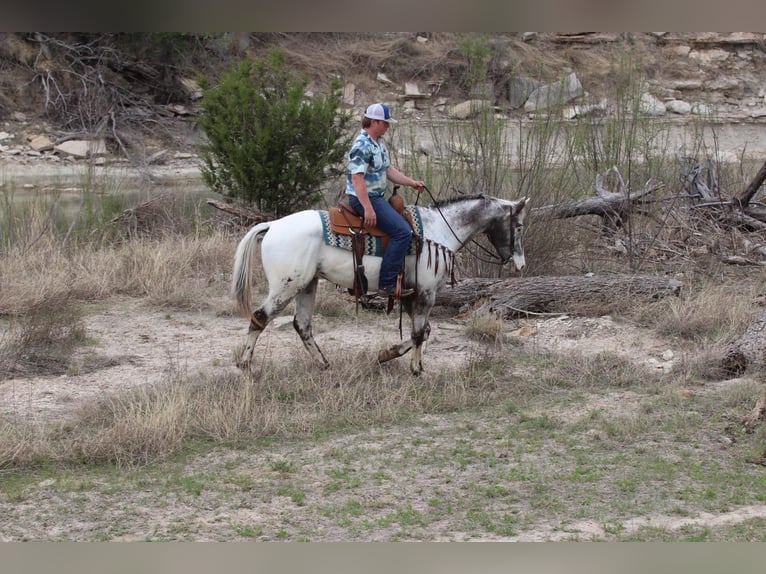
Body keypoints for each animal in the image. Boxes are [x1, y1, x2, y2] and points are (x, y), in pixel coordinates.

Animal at [231, 194, 528, 375]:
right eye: (519, 226)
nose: (520, 264)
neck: (439, 230)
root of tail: (272, 225)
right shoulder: (426, 293)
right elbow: (419, 333)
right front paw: (416, 370)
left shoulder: (410, 294)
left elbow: (424, 331)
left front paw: (387, 354)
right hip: (286, 286)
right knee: (260, 317)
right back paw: (246, 365)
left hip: (307, 284)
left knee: (302, 325)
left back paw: (324, 364)